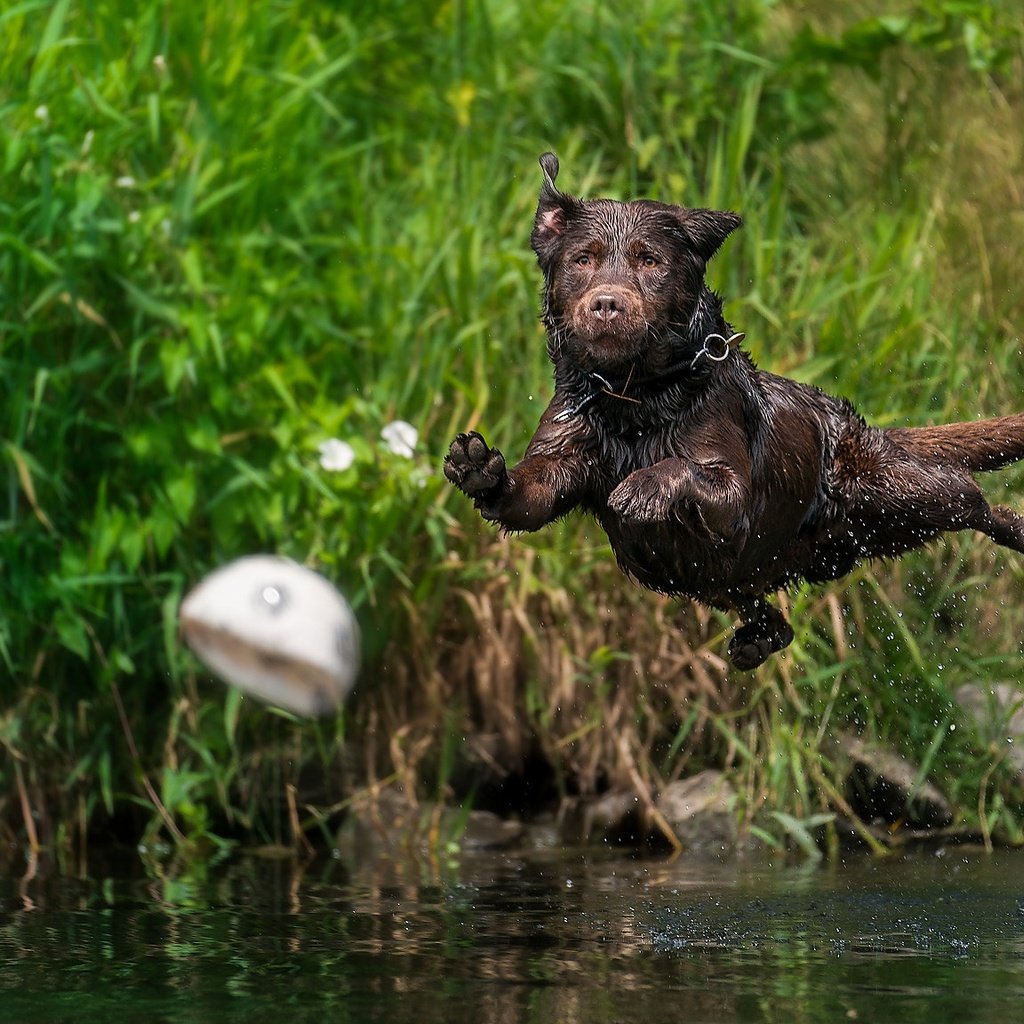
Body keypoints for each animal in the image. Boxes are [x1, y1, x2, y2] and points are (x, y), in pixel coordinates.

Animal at [444, 149, 1024, 663]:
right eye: (582, 259)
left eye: (649, 261)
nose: (607, 304)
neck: (636, 399)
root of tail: (869, 432)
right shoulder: (564, 455)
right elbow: (528, 494)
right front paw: (478, 467)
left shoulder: (735, 495)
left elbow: (687, 469)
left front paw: (642, 486)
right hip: (747, 572)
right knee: (771, 614)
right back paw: (757, 640)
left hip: (896, 492)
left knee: (972, 496)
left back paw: (1013, 525)